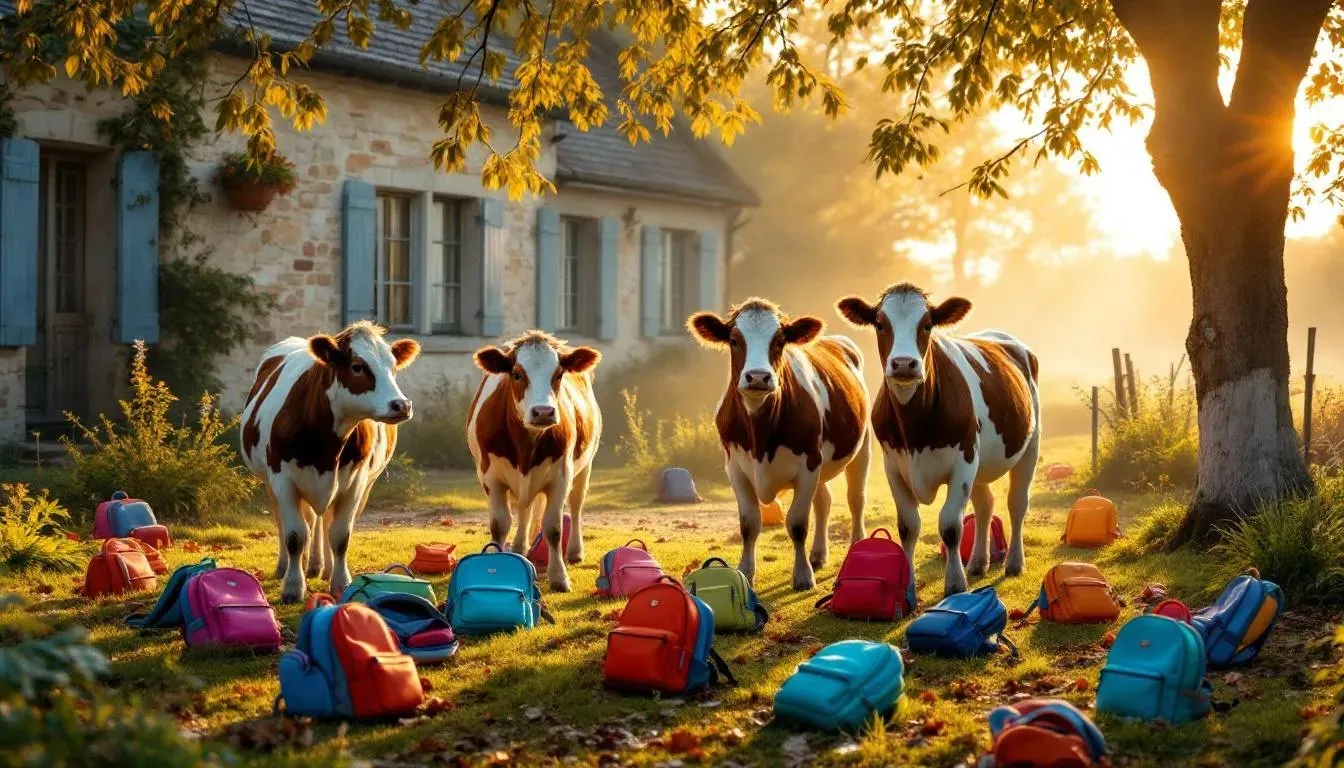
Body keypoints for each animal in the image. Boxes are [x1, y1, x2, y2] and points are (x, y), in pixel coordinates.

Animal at [240, 321, 421, 603]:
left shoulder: (355, 483)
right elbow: (295, 534)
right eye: (357, 366)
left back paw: (320, 567)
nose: (401, 405)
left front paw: (340, 582)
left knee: (321, 521)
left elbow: (340, 535)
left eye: (393, 367)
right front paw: (293, 586)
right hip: (269, 483)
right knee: (287, 522)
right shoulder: (283, 480)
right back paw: (286, 566)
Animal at [466, 331, 602, 592]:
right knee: (525, 509)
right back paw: (520, 548)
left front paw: (559, 577)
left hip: (585, 467)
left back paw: (575, 551)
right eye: (517, 374)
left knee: (576, 504)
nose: (543, 412)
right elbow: (500, 524)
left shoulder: (561, 477)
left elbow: (554, 528)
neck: (526, 444)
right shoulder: (490, 477)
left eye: (558, 374)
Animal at [688, 298, 872, 591]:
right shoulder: (735, 468)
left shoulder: (809, 464)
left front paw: (803, 576)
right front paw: (746, 571)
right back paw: (818, 555)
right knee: (824, 501)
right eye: (735, 340)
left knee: (856, 498)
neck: (760, 434)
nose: (757, 377)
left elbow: (797, 523)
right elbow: (749, 523)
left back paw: (855, 546)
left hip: (861, 447)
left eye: (780, 341)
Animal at [836, 283, 1040, 597]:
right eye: (880, 324)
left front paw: (955, 584)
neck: (914, 427)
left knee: (1017, 504)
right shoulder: (893, 466)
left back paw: (1015, 563)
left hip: (1029, 446)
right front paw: (908, 587)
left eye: (927, 324)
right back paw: (978, 561)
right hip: (981, 465)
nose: (904, 364)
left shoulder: (964, 462)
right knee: (985, 505)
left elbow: (951, 525)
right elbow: (908, 526)